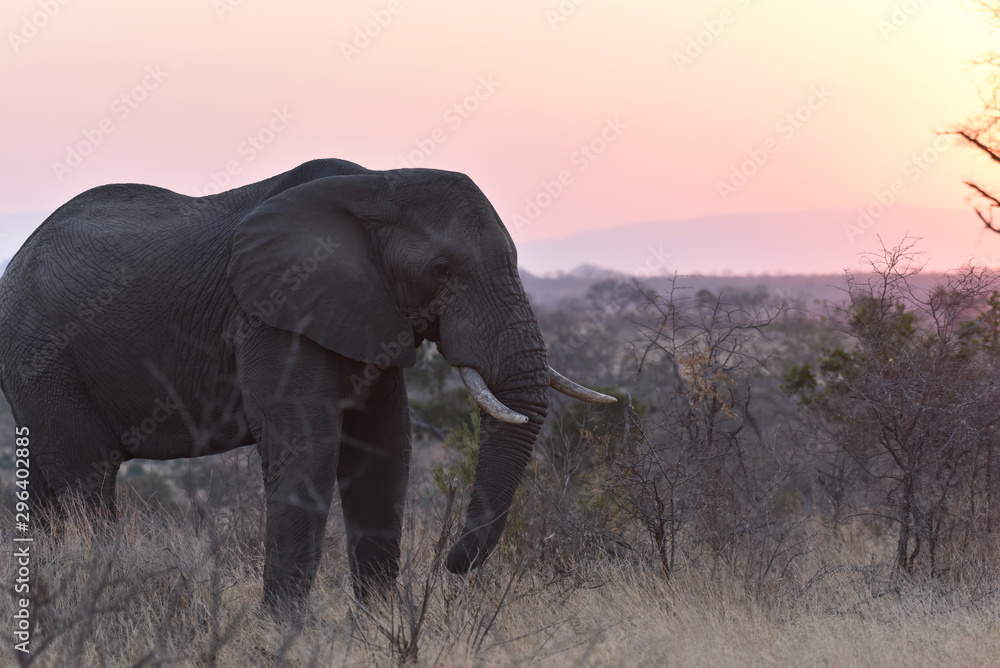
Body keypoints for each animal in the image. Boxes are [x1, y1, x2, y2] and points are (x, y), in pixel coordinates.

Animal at [0, 158, 614, 614]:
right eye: (442, 270)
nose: (452, 562)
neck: (374, 187)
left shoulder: (369, 313)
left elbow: (384, 449)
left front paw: (378, 631)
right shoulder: (273, 311)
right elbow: (309, 447)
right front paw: (285, 633)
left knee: (51, 484)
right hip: (41, 356)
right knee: (87, 476)